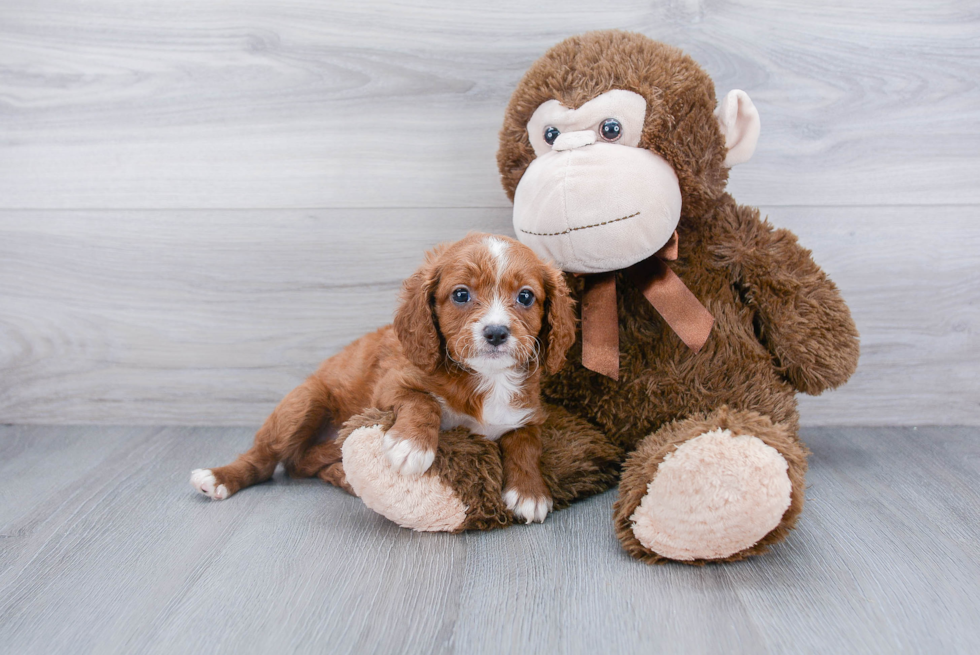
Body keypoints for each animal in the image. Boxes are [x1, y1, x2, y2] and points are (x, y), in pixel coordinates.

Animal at [190, 233, 576, 524]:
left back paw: (343, 476)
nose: (496, 333)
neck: (487, 379)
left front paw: (529, 491)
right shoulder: (391, 384)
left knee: (304, 464)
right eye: (461, 294)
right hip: (303, 402)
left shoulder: (528, 414)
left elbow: (526, 443)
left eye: (525, 296)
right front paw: (411, 445)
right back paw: (220, 477)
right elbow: (422, 400)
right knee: (267, 458)